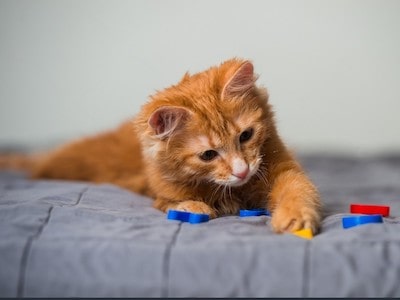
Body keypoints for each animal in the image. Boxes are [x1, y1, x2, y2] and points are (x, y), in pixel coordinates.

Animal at [1, 57, 324, 233]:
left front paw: (294, 218)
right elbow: (175, 202)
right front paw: (197, 206)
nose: (242, 171)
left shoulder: (282, 169)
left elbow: (297, 190)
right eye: (208, 155)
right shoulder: (159, 190)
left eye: (245, 136)